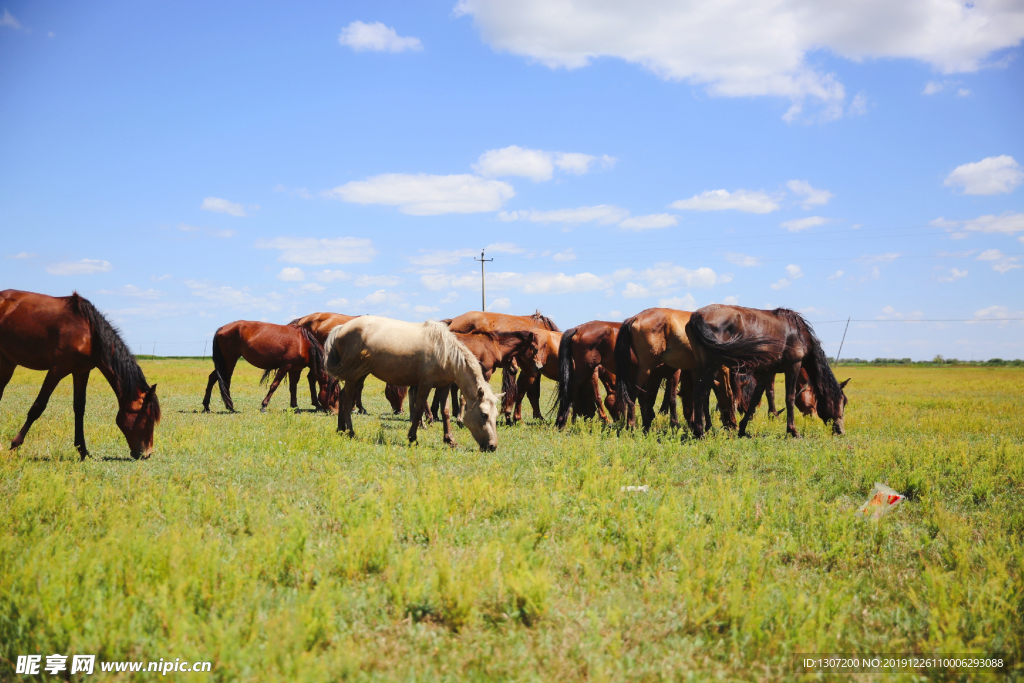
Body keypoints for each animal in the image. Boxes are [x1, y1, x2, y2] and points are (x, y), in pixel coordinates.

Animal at [0, 288, 160, 458]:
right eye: (150, 419)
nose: (147, 453)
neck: (90, 335)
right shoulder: (57, 369)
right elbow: (38, 406)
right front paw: (15, 444)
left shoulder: (81, 372)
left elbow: (79, 408)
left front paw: (82, 450)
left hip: (8, 360)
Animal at [199, 319, 327, 411]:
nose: (330, 411)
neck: (303, 343)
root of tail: (222, 328)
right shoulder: (285, 366)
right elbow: (274, 385)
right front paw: (264, 405)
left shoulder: (295, 369)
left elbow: (293, 387)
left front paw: (295, 407)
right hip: (229, 360)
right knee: (225, 380)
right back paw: (230, 406)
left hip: (224, 362)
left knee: (213, 377)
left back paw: (207, 406)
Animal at [325, 317, 501, 454]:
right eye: (484, 415)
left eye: (495, 415)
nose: (492, 446)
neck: (444, 352)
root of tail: (341, 328)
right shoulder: (425, 384)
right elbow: (418, 409)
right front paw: (413, 438)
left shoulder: (443, 386)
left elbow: (445, 412)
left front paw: (450, 440)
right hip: (354, 375)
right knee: (348, 399)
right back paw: (350, 432)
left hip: (360, 374)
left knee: (343, 396)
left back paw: (341, 429)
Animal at [688, 305, 847, 438]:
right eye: (842, 402)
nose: (841, 431)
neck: (799, 334)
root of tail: (697, 314)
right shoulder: (793, 366)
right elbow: (790, 398)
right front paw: (793, 431)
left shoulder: (768, 371)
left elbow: (755, 398)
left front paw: (742, 428)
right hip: (712, 365)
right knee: (700, 393)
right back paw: (700, 432)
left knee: (702, 394)